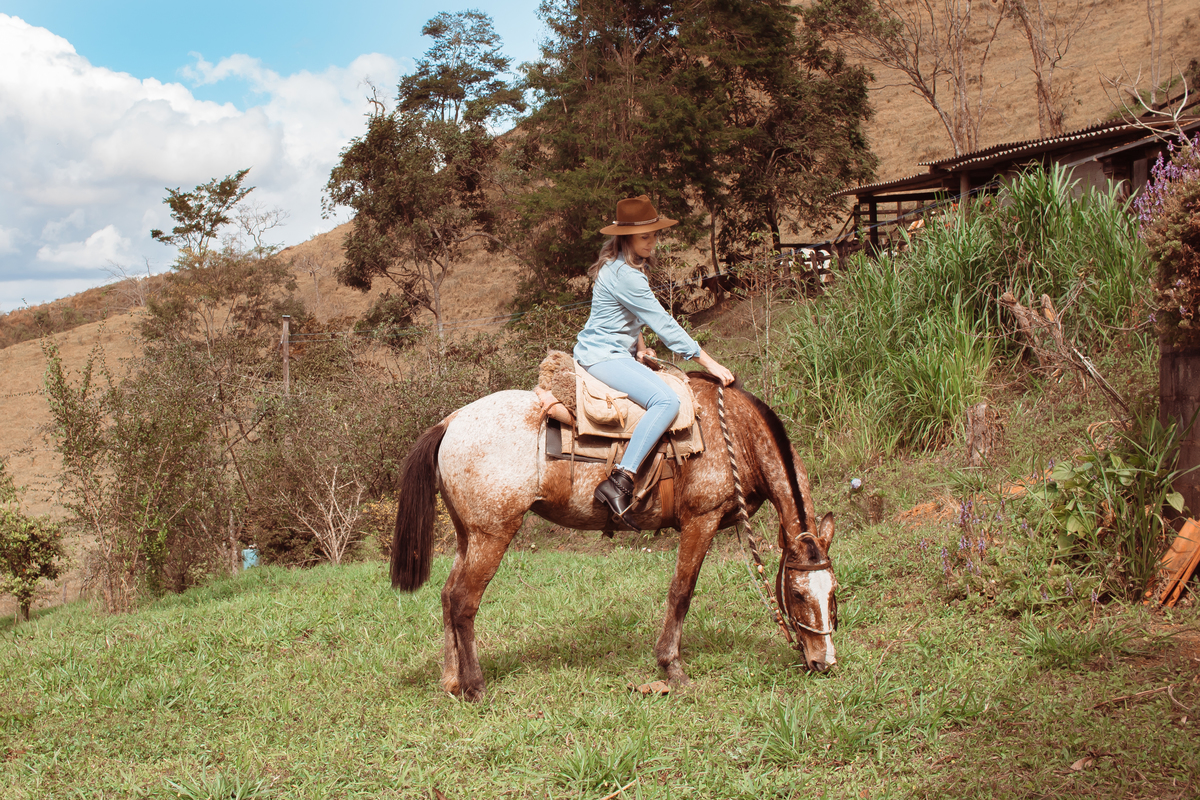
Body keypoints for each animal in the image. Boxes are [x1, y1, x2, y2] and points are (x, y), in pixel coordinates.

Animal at [390, 371, 838, 701]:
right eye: (797, 594)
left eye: (833, 592)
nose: (824, 662)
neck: (736, 435)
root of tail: (451, 421)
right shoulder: (701, 520)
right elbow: (682, 591)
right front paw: (672, 668)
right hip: (491, 535)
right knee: (464, 602)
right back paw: (475, 687)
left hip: (469, 536)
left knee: (447, 595)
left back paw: (451, 681)